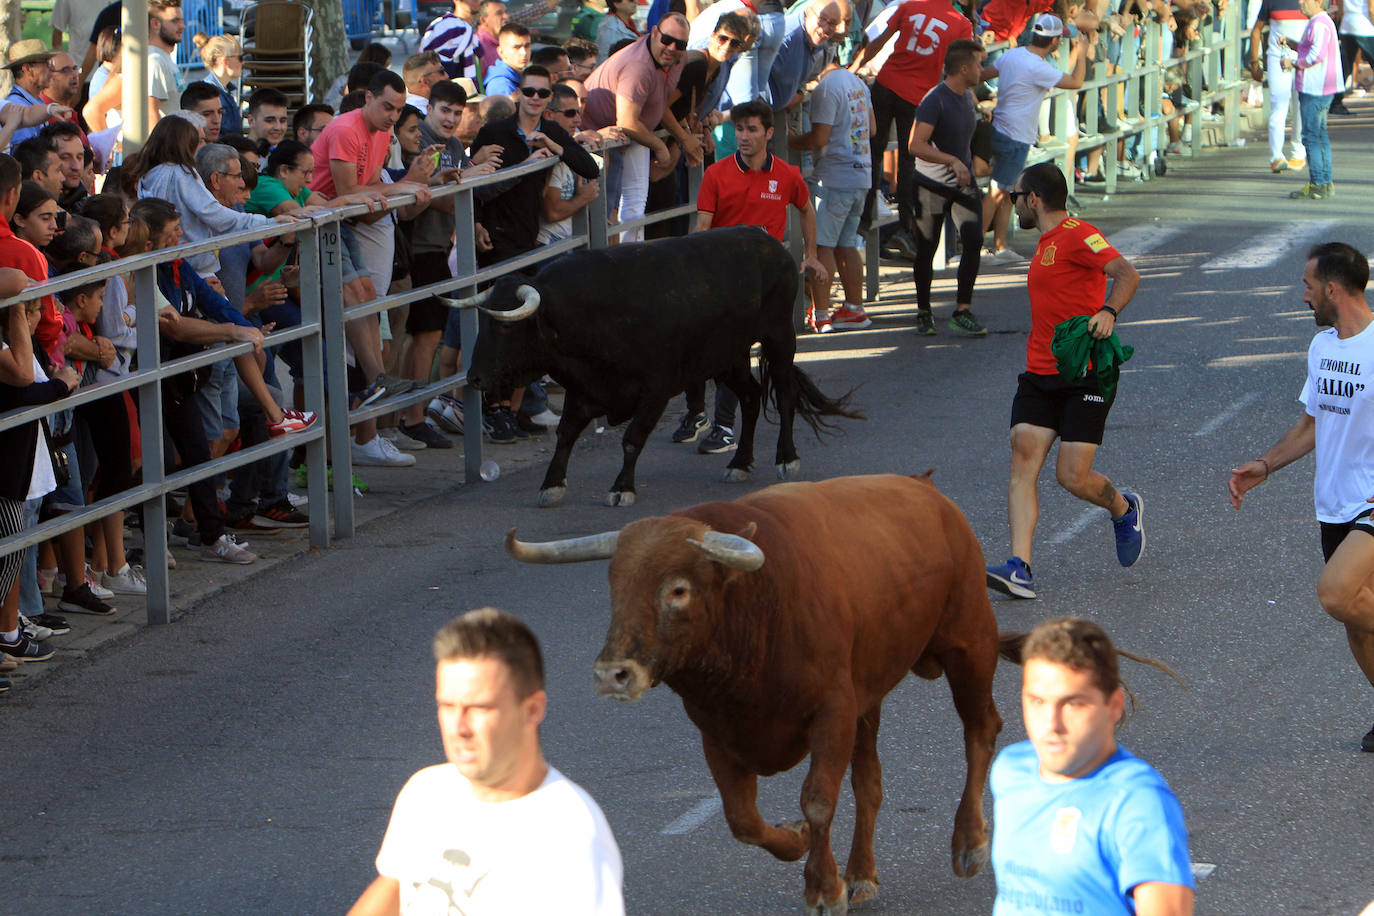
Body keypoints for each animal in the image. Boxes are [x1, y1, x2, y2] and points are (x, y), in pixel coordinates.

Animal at [458, 225, 857, 505]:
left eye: (506, 326)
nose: (474, 378)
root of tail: (770, 243)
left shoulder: (656, 389)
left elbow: (632, 439)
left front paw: (622, 488)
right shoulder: (584, 389)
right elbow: (566, 434)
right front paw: (552, 484)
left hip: (778, 336)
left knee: (785, 394)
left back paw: (786, 458)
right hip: (727, 356)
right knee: (751, 396)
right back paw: (740, 463)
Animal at [511, 477, 1005, 911]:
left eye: (678, 589)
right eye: (615, 585)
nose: (613, 674)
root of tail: (927, 490)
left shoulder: (833, 711)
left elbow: (818, 800)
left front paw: (823, 889)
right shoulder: (718, 732)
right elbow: (743, 820)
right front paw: (799, 841)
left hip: (970, 641)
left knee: (981, 728)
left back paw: (970, 843)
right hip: (871, 694)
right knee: (869, 781)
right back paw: (862, 874)